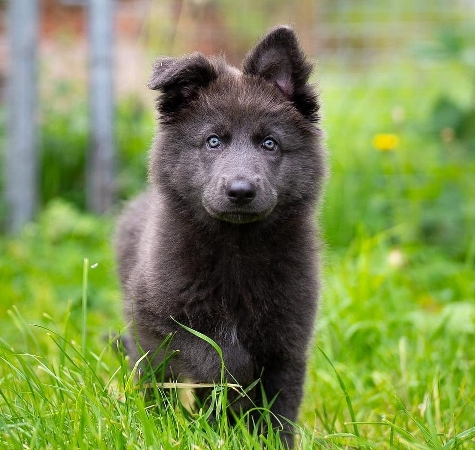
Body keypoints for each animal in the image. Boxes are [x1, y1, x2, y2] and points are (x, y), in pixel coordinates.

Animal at [116, 25, 328, 446]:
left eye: (269, 143)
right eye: (213, 141)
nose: (241, 190)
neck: (236, 249)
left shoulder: (288, 341)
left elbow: (280, 408)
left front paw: (265, 438)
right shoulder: (154, 318)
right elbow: (210, 355)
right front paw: (231, 382)